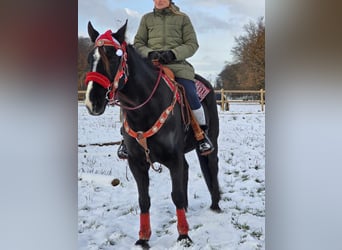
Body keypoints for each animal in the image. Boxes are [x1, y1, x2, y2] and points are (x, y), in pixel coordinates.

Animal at [84, 20, 220, 247]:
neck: (146, 110)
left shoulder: (173, 159)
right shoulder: (137, 163)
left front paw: (183, 236)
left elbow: (176, 195)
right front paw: (143, 238)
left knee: (212, 167)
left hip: (212, 144)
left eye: (113, 57)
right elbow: (144, 200)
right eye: (90, 58)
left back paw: (216, 204)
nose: (92, 101)